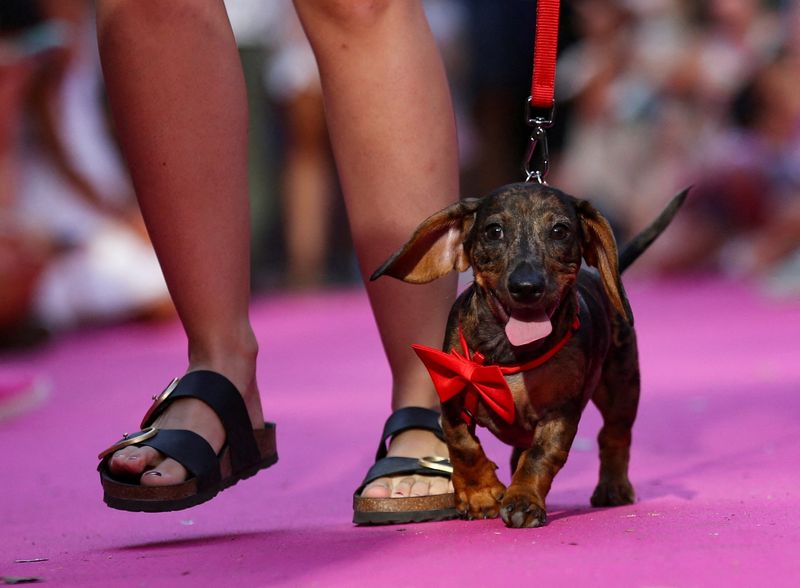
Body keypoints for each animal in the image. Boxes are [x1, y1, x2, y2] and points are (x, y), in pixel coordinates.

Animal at [372, 184, 684, 528]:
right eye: (494, 231)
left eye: (560, 231)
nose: (525, 286)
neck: (510, 353)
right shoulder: (452, 395)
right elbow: (462, 445)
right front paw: (480, 494)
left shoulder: (559, 414)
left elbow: (539, 457)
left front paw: (523, 500)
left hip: (622, 386)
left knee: (614, 435)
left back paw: (613, 487)